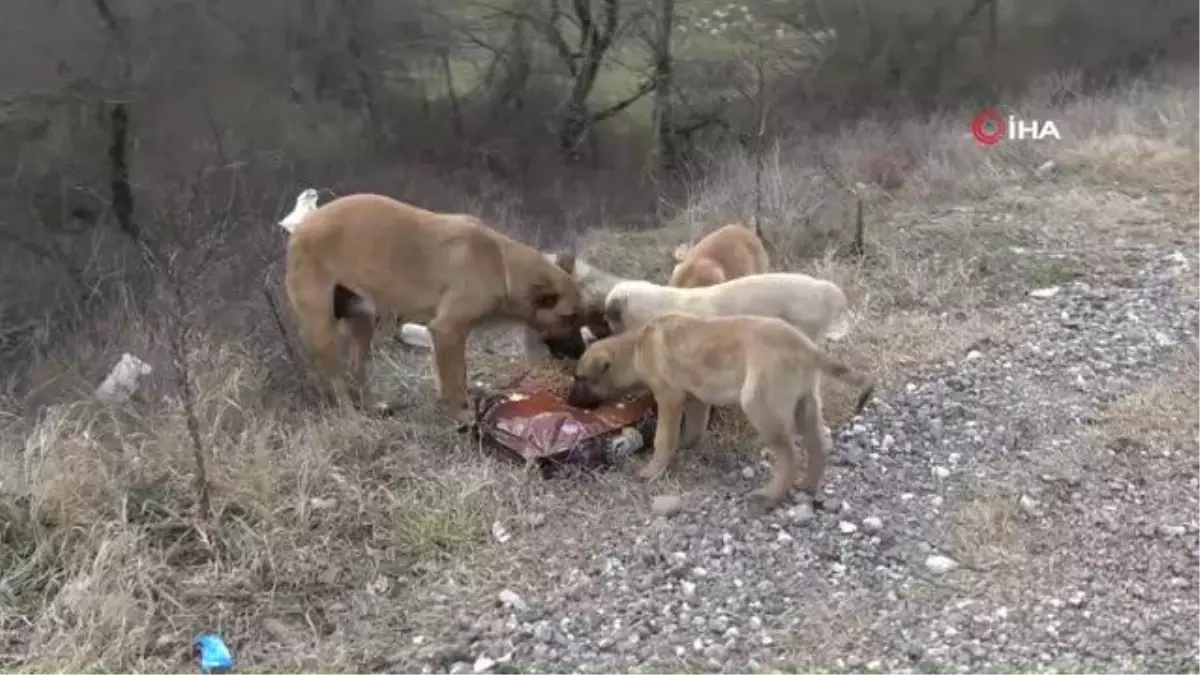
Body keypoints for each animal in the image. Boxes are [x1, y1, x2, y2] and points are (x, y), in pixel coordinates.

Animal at [280, 192, 580, 420]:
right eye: (569, 318)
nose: (580, 354)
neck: (500, 264)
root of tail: (304, 223)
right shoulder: (447, 331)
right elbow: (453, 380)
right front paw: (461, 415)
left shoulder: (449, 336)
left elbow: (457, 375)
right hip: (322, 328)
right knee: (338, 379)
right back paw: (353, 417)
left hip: (363, 316)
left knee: (356, 368)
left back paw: (372, 407)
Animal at [571, 312, 873, 506]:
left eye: (580, 378)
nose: (569, 400)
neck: (635, 346)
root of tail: (805, 345)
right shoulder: (696, 398)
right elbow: (693, 428)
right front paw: (686, 446)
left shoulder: (669, 398)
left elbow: (663, 438)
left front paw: (653, 470)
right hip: (805, 403)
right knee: (817, 446)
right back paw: (808, 486)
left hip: (760, 404)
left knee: (790, 456)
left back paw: (770, 496)